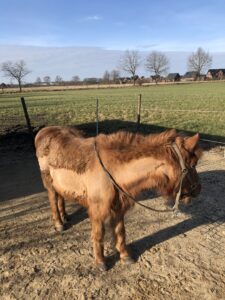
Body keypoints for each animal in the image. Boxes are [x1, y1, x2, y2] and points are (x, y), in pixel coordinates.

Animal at [34, 125, 202, 270]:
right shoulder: (98, 209)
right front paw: (100, 261)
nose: (199, 190)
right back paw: (59, 223)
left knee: (60, 197)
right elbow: (99, 234)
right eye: (193, 164)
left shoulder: (119, 206)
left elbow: (120, 232)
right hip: (49, 182)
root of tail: (44, 130)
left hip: (59, 184)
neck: (113, 170)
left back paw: (65, 216)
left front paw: (125, 256)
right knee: (53, 199)